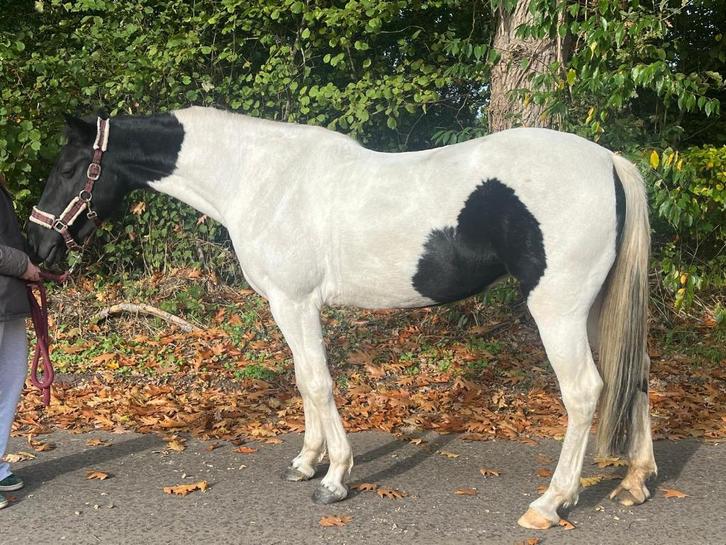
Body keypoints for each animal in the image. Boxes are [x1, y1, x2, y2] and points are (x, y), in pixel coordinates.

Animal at [27, 107, 656, 529]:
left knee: (585, 391)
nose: (38, 247)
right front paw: (307, 463)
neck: (260, 178)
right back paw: (634, 481)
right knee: (638, 373)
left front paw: (334, 479)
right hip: (596, 307)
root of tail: (607, 160)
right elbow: (303, 382)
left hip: (558, 308)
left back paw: (550, 503)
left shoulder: (294, 301)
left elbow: (316, 383)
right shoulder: (288, 304)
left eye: (71, 166)